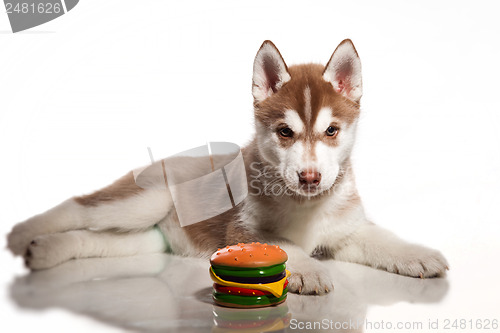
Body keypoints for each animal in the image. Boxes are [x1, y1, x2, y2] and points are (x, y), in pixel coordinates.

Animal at [7, 39, 448, 294]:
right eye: (285, 132)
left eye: (332, 130)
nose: (309, 177)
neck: (307, 207)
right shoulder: (242, 229)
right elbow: (285, 244)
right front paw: (308, 271)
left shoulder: (347, 231)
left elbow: (382, 239)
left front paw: (420, 254)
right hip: (144, 202)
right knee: (79, 207)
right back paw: (23, 234)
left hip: (149, 238)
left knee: (94, 237)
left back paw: (44, 250)